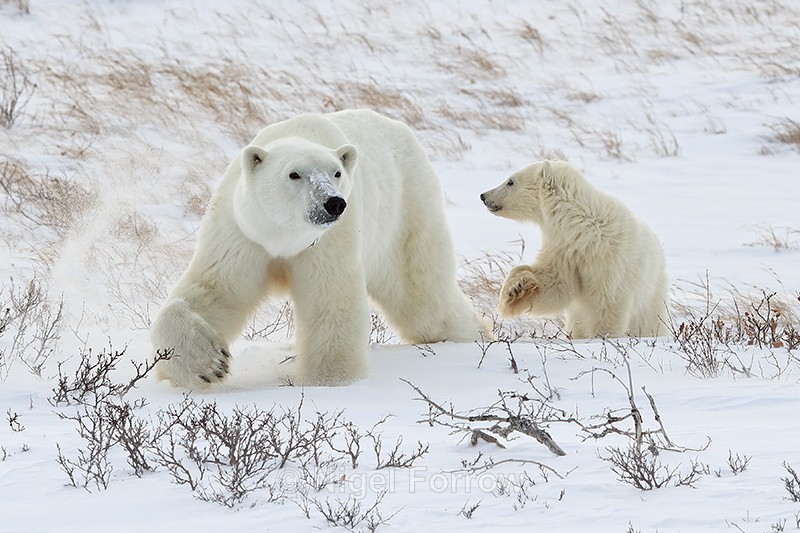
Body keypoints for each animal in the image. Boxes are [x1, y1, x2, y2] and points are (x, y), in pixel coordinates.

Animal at [151, 109, 484, 388]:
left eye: (336, 172)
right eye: (294, 174)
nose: (333, 203)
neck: (283, 238)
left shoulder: (328, 241)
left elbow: (330, 301)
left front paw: (329, 381)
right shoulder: (243, 234)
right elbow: (214, 291)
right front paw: (208, 364)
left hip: (406, 211)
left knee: (423, 298)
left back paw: (478, 333)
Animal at [480, 160, 668, 338]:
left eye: (510, 181)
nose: (483, 195)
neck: (582, 228)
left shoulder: (610, 262)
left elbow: (608, 303)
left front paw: (603, 336)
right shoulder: (564, 248)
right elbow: (555, 285)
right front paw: (515, 288)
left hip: (651, 295)